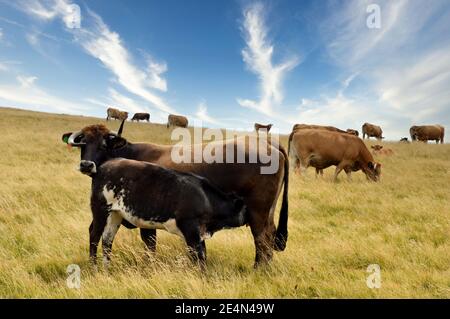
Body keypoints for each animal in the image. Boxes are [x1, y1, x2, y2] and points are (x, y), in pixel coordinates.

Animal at [87, 159, 248, 268]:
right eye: (247, 208)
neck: (205, 198)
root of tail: (102, 168)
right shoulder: (191, 229)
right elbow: (198, 256)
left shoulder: (198, 233)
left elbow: (202, 253)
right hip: (101, 210)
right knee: (95, 236)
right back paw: (94, 266)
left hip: (115, 215)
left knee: (107, 240)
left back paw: (107, 267)